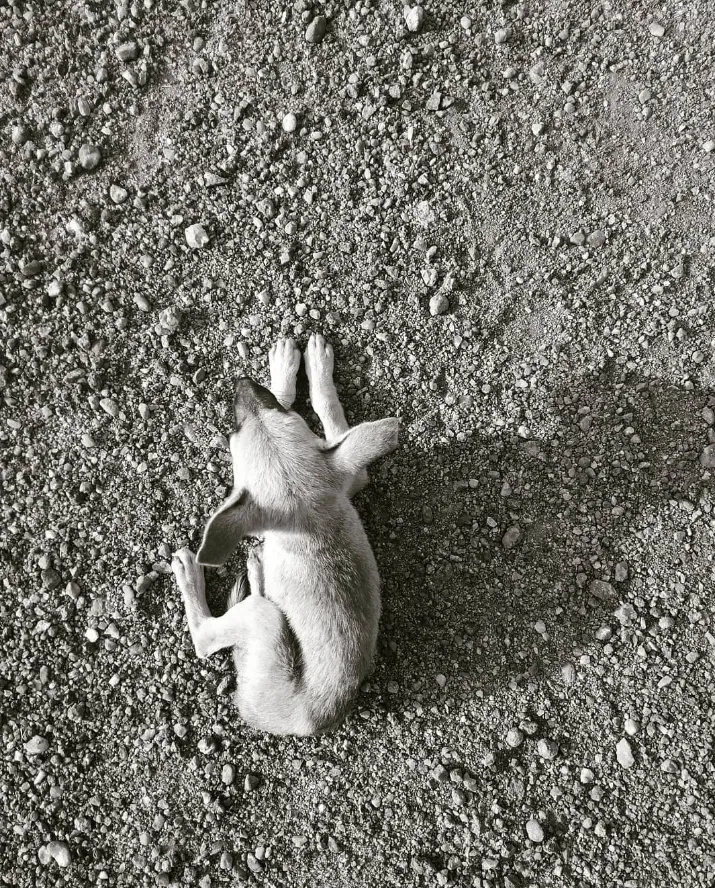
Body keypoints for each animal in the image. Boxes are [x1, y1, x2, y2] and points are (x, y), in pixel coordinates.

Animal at [171, 332, 400, 736]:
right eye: (274, 409)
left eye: (234, 430)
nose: (243, 383)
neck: (314, 520)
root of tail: (308, 719)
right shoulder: (348, 475)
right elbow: (335, 422)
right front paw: (303, 369)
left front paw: (290, 371)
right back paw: (257, 571)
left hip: (263, 619)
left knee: (206, 636)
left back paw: (193, 573)